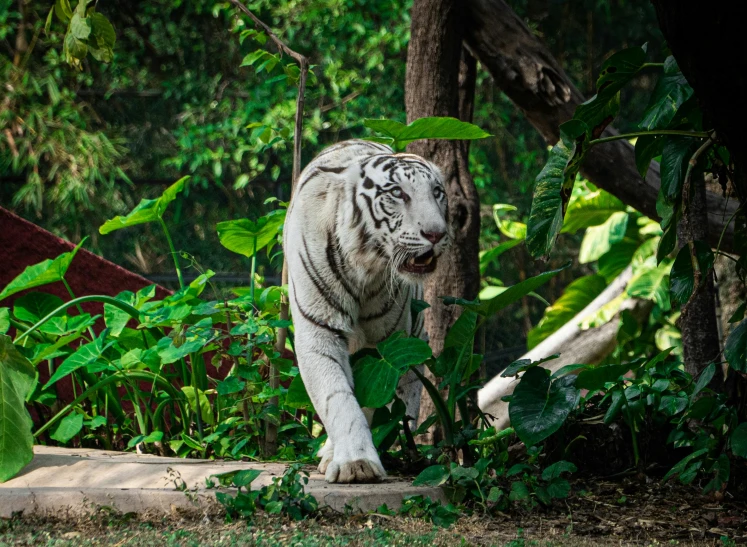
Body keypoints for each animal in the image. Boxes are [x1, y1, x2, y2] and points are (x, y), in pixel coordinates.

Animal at [284, 140, 450, 484]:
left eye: (437, 192)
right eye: (398, 193)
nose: (436, 234)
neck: (364, 265)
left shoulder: (384, 345)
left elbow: (370, 398)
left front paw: (354, 459)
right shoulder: (319, 329)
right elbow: (337, 396)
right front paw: (355, 464)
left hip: (415, 338)